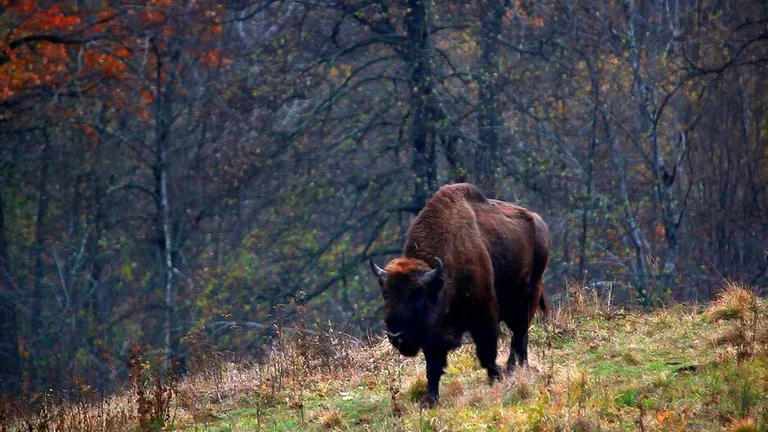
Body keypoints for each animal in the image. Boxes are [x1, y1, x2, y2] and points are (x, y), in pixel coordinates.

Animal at [369, 183, 550, 406]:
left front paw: (496, 379)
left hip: (527, 297)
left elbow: (486, 353)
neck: (440, 279)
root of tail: (539, 222)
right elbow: (433, 367)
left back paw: (513, 369)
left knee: (519, 335)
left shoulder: (484, 315)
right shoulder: (433, 333)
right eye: (386, 294)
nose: (396, 336)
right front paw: (430, 401)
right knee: (520, 337)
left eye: (417, 295)